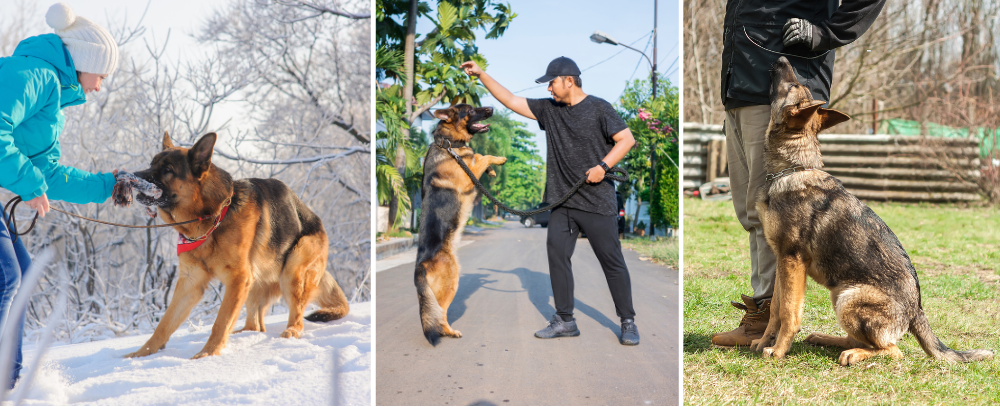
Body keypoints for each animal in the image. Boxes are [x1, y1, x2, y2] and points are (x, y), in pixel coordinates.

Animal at [125, 132, 352, 358]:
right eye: (152, 163)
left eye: (167, 169)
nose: (132, 176)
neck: (211, 218)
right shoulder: (191, 282)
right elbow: (164, 324)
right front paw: (140, 354)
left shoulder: (237, 278)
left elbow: (220, 321)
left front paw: (207, 354)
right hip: (254, 283)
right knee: (255, 325)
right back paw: (240, 335)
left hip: (292, 269)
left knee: (296, 318)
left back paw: (290, 332)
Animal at [416, 104, 508, 344]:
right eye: (471, 110)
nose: (491, 107)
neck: (448, 144)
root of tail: (420, 266)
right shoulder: (469, 177)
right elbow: (483, 156)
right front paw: (498, 160)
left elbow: (479, 156)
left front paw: (492, 170)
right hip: (452, 280)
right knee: (441, 313)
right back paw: (449, 331)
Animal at [752, 56, 992, 366]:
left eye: (793, 86)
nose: (781, 58)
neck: (792, 168)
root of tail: (917, 311)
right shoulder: (783, 260)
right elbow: (774, 309)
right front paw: (763, 342)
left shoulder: (792, 260)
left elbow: (789, 313)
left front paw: (779, 351)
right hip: (839, 295)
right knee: (860, 339)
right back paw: (825, 339)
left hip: (848, 298)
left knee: (892, 349)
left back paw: (852, 354)